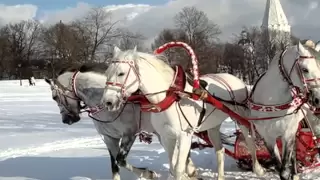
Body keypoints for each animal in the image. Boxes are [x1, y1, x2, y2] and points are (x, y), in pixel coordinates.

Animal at [44, 64, 188, 179]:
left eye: (54, 97)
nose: (66, 120)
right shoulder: (109, 138)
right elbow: (114, 165)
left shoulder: (129, 135)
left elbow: (121, 160)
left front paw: (148, 173)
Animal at [102, 44, 264, 180]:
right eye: (107, 73)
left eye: (121, 73)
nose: (107, 102)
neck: (170, 96)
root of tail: (236, 79)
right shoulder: (166, 136)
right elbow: (173, 167)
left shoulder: (185, 135)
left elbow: (179, 168)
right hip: (213, 126)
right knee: (220, 150)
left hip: (240, 118)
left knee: (250, 141)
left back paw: (258, 169)